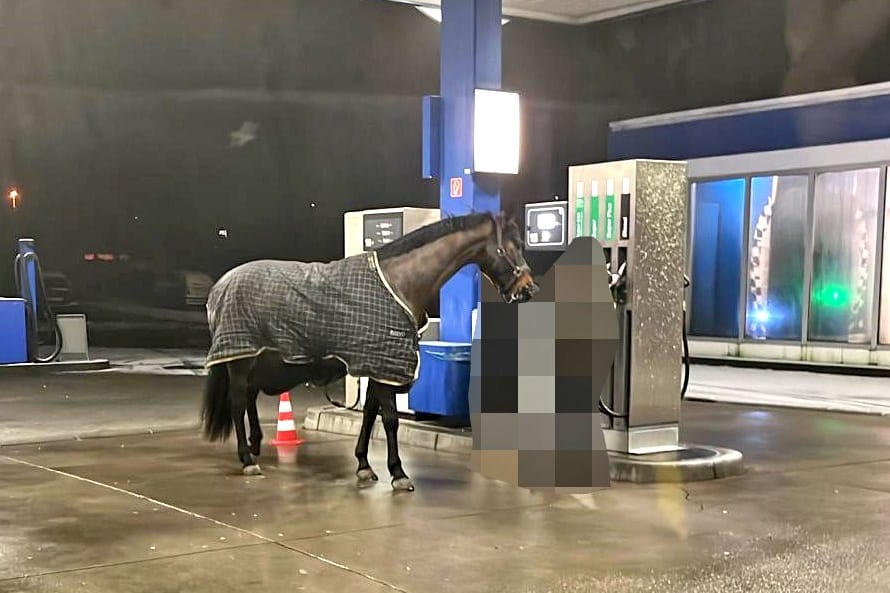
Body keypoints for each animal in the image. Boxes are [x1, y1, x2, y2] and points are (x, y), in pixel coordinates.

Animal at [199, 209, 536, 490]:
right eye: (513, 246)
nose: (528, 289)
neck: (399, 282)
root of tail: (220, 285)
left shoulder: (377, 364)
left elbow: (370, 415)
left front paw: (364, 465)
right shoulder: (384, 365)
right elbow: (390, 420)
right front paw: (398, 473)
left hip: (257, 359)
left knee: (249, 399)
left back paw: (254, 446)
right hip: (241, 360)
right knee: (238, 402)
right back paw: (247, 459)